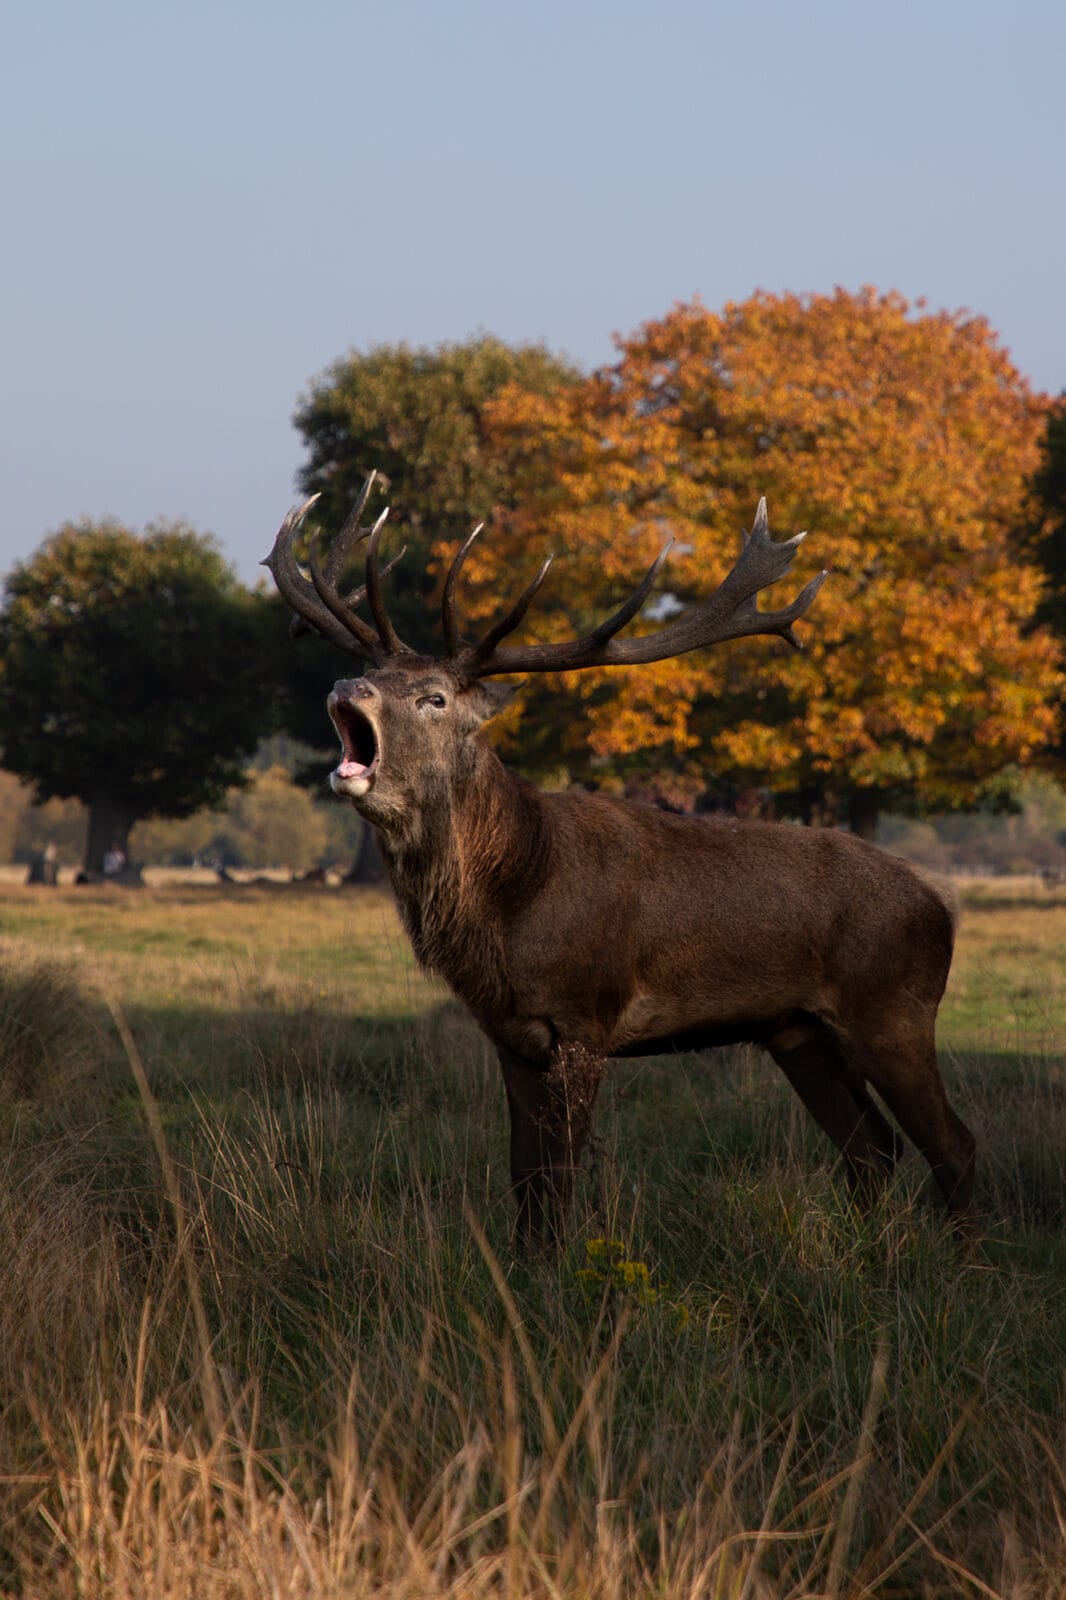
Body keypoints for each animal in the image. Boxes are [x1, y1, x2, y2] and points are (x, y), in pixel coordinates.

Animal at [265, 473, 976, 1246]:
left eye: (434, 697)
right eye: (369, 670)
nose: (345, 688)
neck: (511, 901)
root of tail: (943, 906)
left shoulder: (585, 1017)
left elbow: (560, 1181)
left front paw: (553, 1268)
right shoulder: (510, 1034)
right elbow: (525, 1179)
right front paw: (524, 1264)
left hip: (895, 1010)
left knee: (953, 1143)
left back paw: (963, 1260)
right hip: (801, 1033)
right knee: (873, 1147)